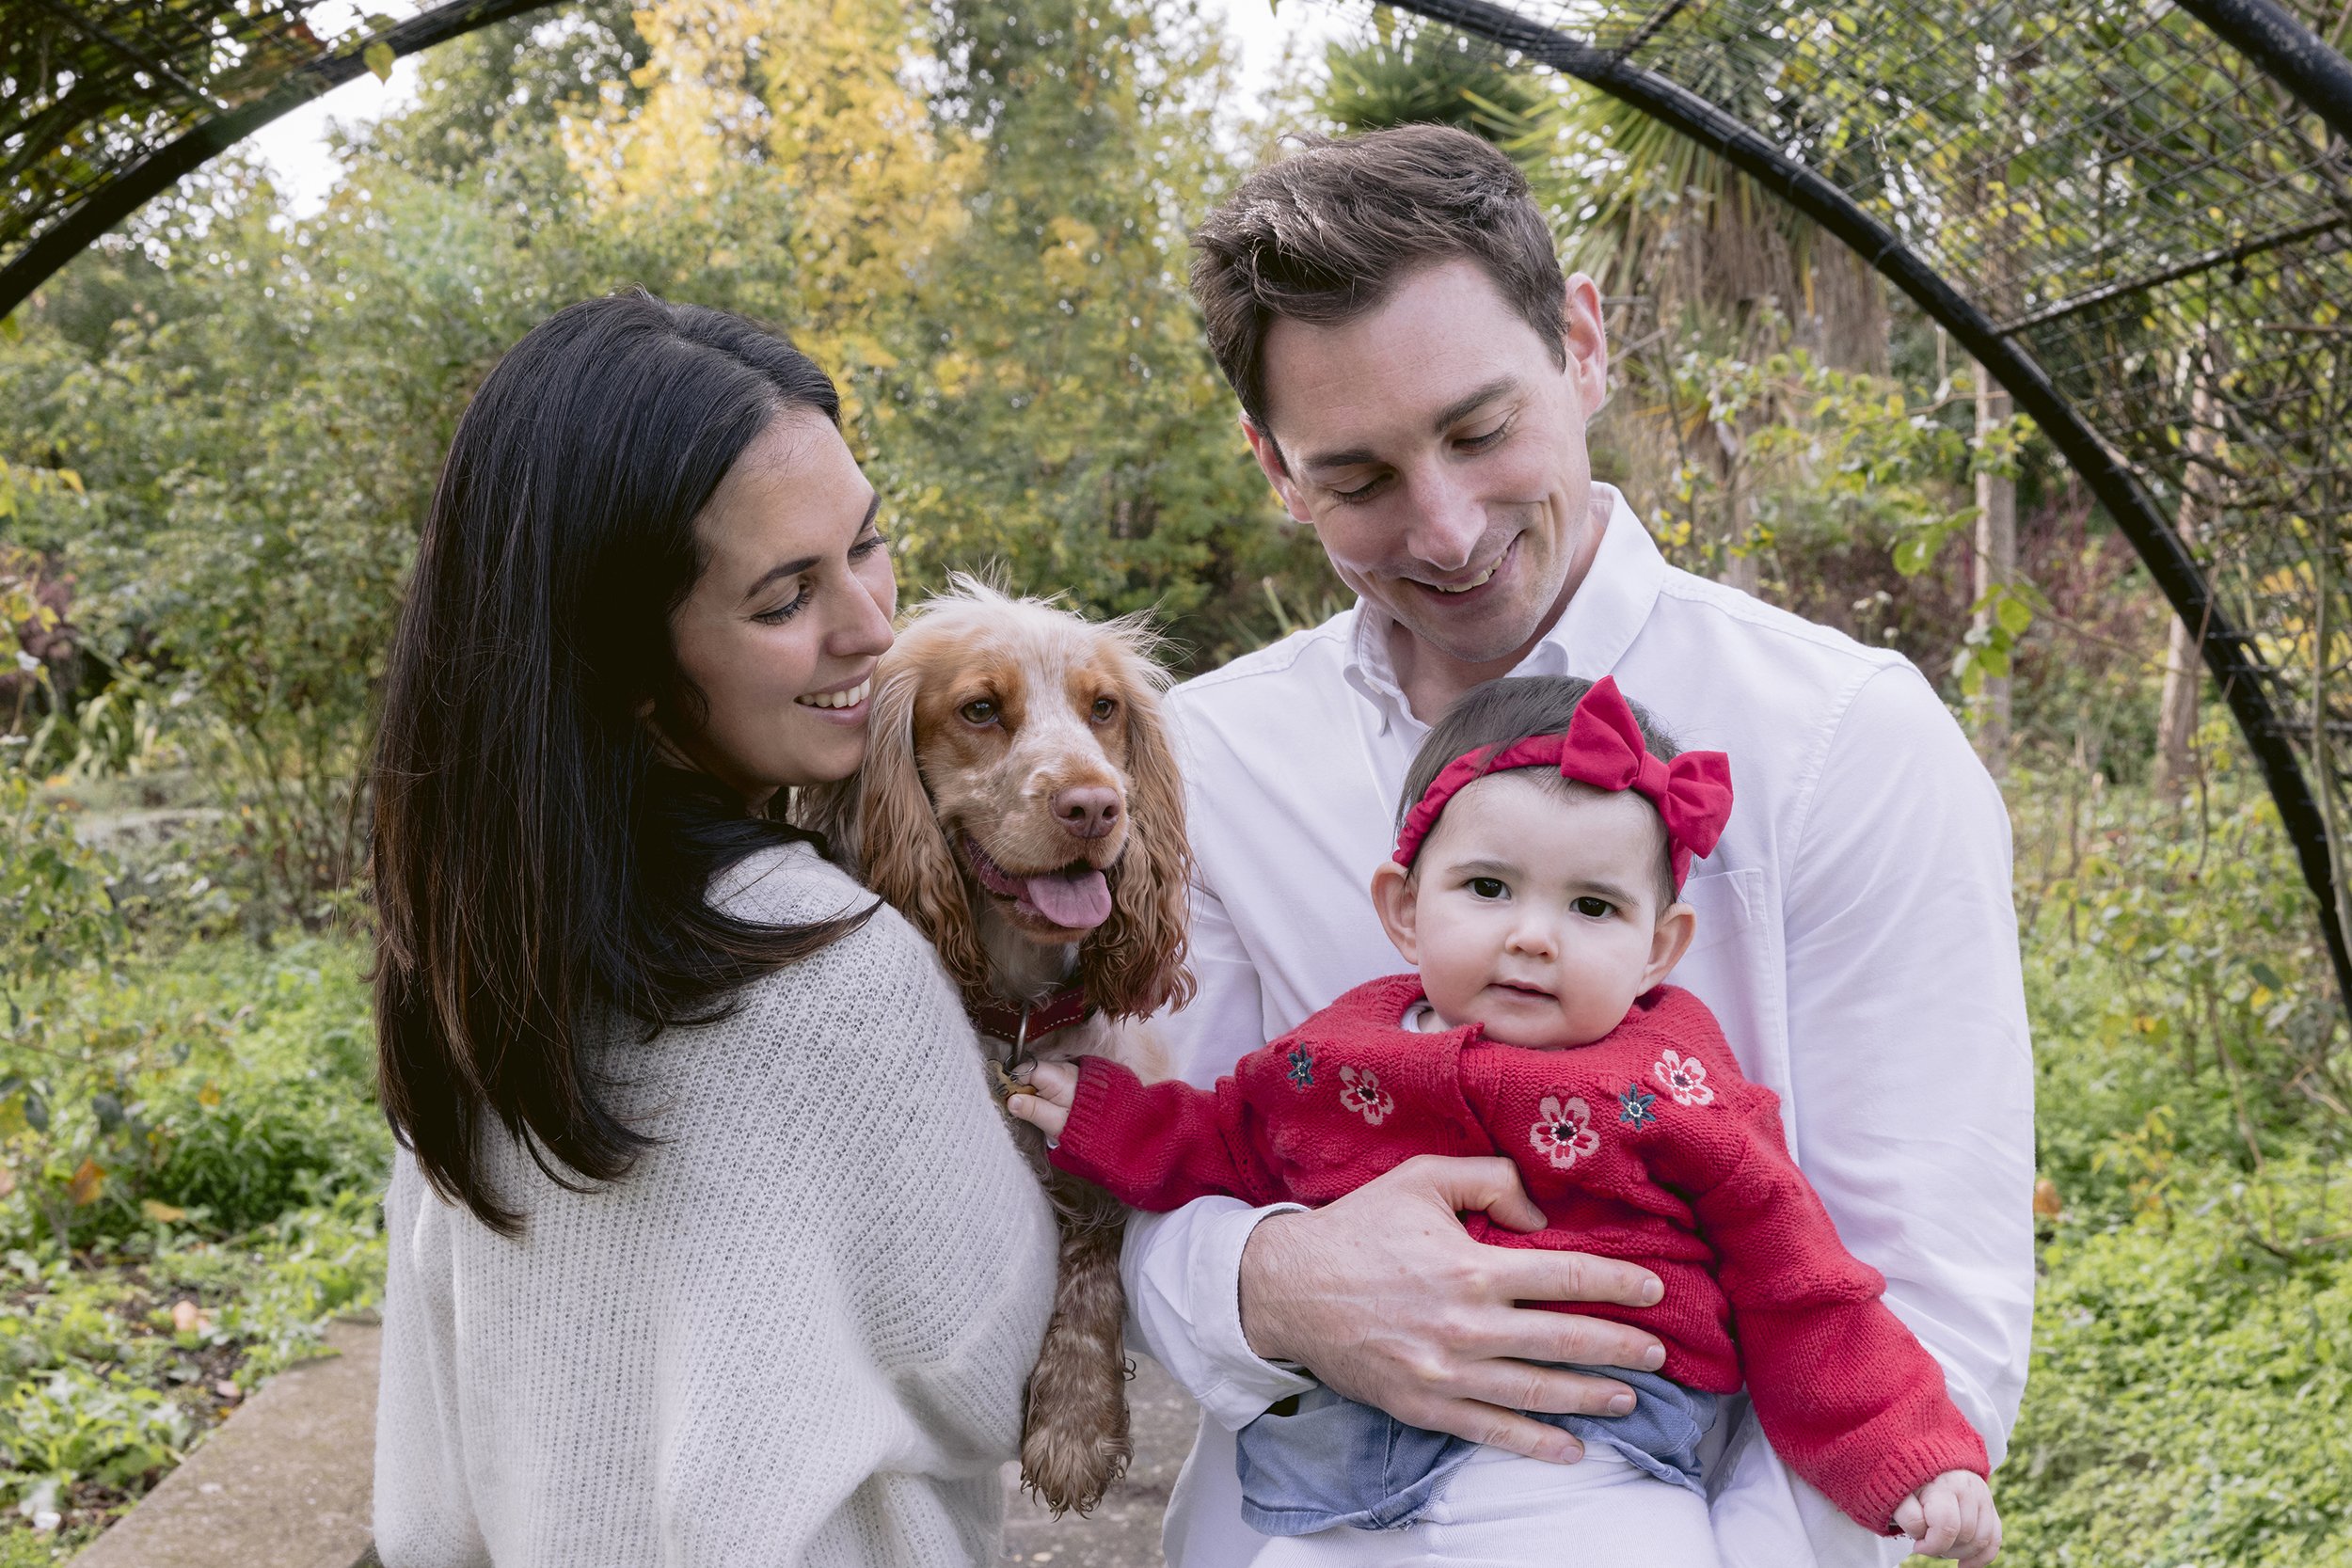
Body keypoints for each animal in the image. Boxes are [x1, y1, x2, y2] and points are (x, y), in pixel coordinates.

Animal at [795, 580, 1195, 1523]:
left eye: (1103, 709)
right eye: (979, 709)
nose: (1095, 805)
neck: (1018, 1005)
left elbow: (1095, 1255)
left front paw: (1074, 1422)